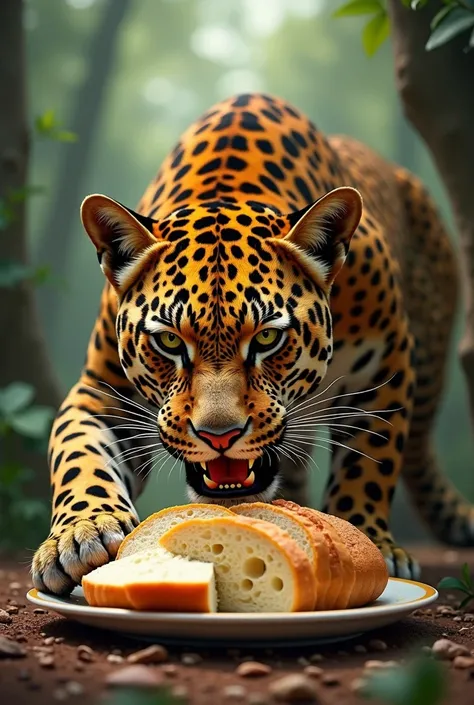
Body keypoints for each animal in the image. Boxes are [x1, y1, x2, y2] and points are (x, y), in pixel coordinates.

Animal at [31, 89, 468, 592]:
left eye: (268, 338)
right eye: (169, 343)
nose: (219, 437)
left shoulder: (385, 367)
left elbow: (370, 461)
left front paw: (365, 537)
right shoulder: (101, 394)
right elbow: (79, 455)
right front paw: (80, 533)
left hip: (431, 354)